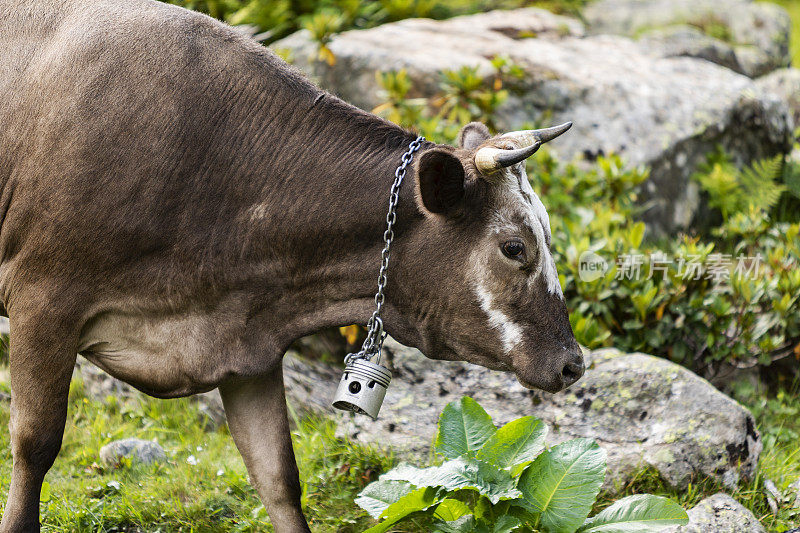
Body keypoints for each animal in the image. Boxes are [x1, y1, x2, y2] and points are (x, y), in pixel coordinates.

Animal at [1, 2, 580, 528]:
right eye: (514, 247)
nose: (573, 363)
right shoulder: (43, 301)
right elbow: (34, 443)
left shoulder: (246, 348)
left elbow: (278, 475)